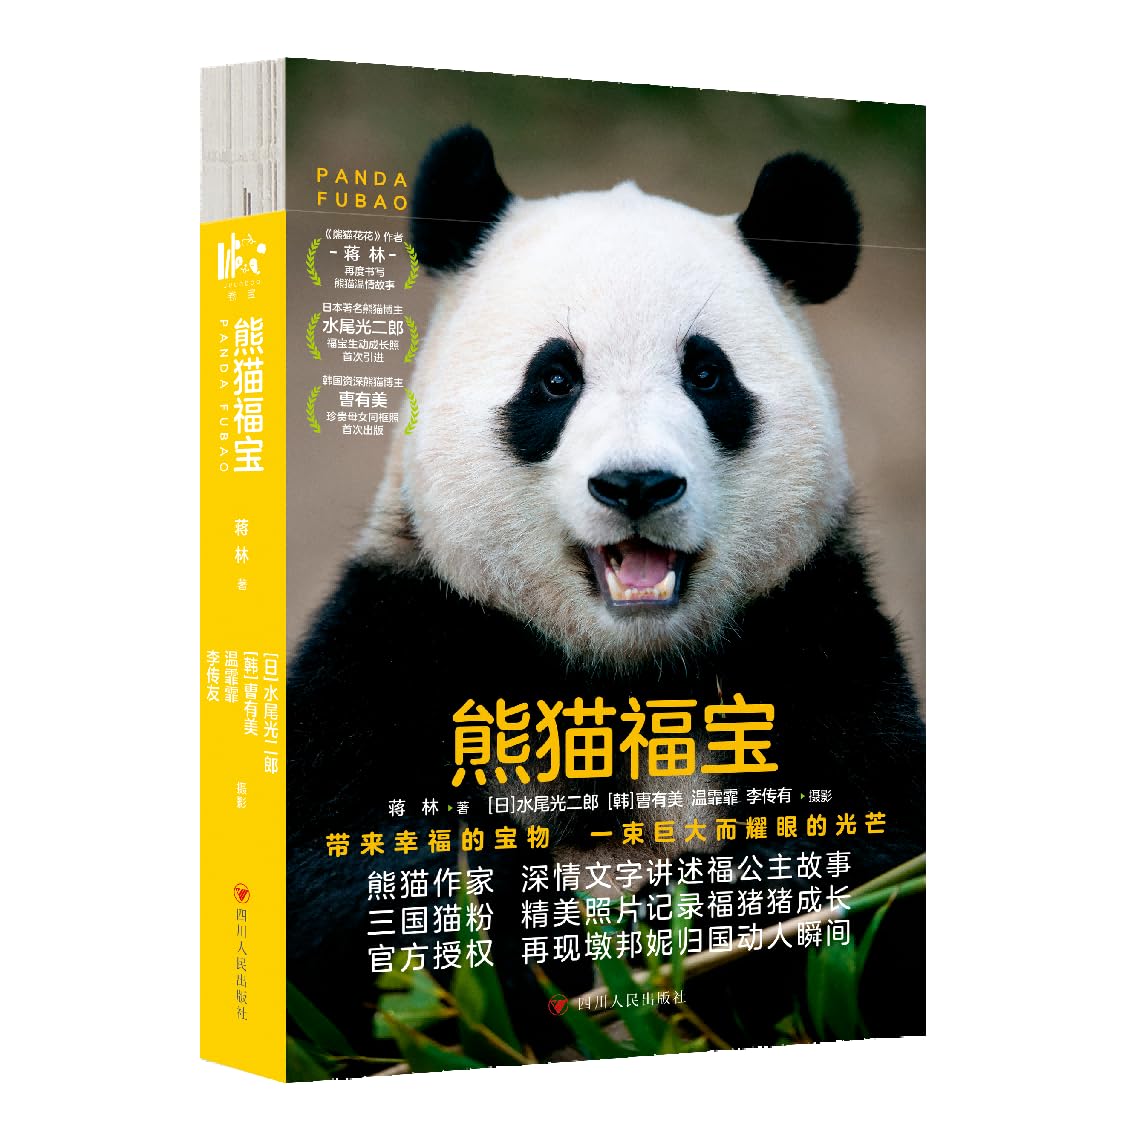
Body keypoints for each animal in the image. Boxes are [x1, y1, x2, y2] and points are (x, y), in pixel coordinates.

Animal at [287, 126, 925, 1064]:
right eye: (555, 380)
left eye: (706, 375)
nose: (635, 484)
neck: (619, 668)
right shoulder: (406, 633)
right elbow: (341, 883)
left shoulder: (812, 633)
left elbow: (871, 869)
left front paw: (679, 927)